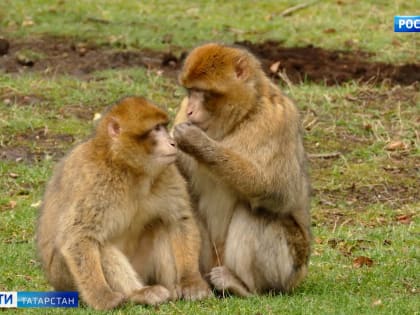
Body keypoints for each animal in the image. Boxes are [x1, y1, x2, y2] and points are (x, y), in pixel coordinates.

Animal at [36, 96, 212, 312]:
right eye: (155, 129)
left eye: (163, 126)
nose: (172, 142)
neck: (128, 168)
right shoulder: (93, 179)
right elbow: (79, 237)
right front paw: (102, 297)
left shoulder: (167, 172)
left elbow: (179, 219)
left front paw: (191, 282)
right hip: (65, 279)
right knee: (100, 244)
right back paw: (139, 293)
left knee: (161, 225)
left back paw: (171, 290)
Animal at [171, 43, 312, 298]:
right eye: (190, 92)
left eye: (202, 92)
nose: (191, 111)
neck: (243, 116)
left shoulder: (277, 119)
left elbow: (279, 192)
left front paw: (198, 143)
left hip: (289, 270)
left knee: (257, 211)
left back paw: (242, 287)